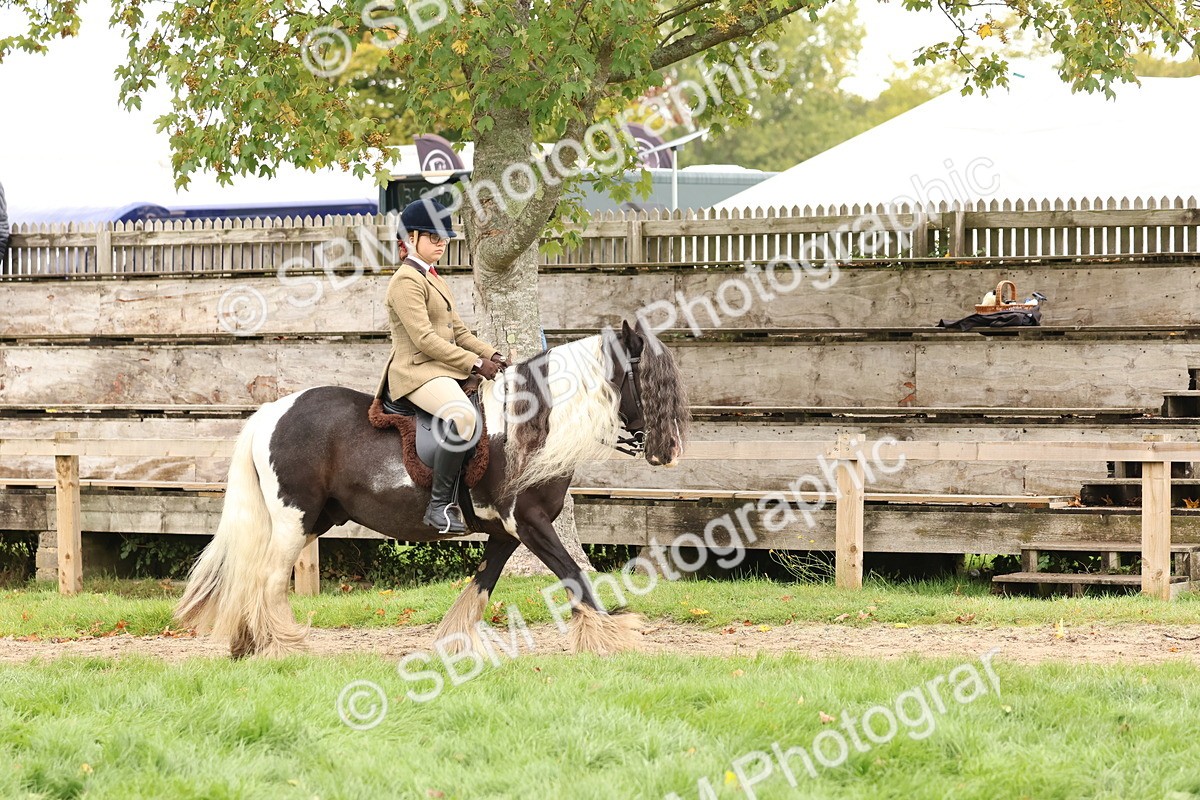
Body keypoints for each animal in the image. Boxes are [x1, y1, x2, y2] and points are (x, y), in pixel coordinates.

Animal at [175, 319, 689, 658]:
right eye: (648, 380)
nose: (667, 453)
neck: (530, 425)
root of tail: (270, 412)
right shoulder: (530, 522)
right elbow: (574, 576)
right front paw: (615, 635)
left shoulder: (506, 532)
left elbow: (482, 585)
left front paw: (454, 645)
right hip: (293, 518)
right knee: (266, 578)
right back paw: (280, 646)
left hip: (316, 518)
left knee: (253, 576)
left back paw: (248, 643)